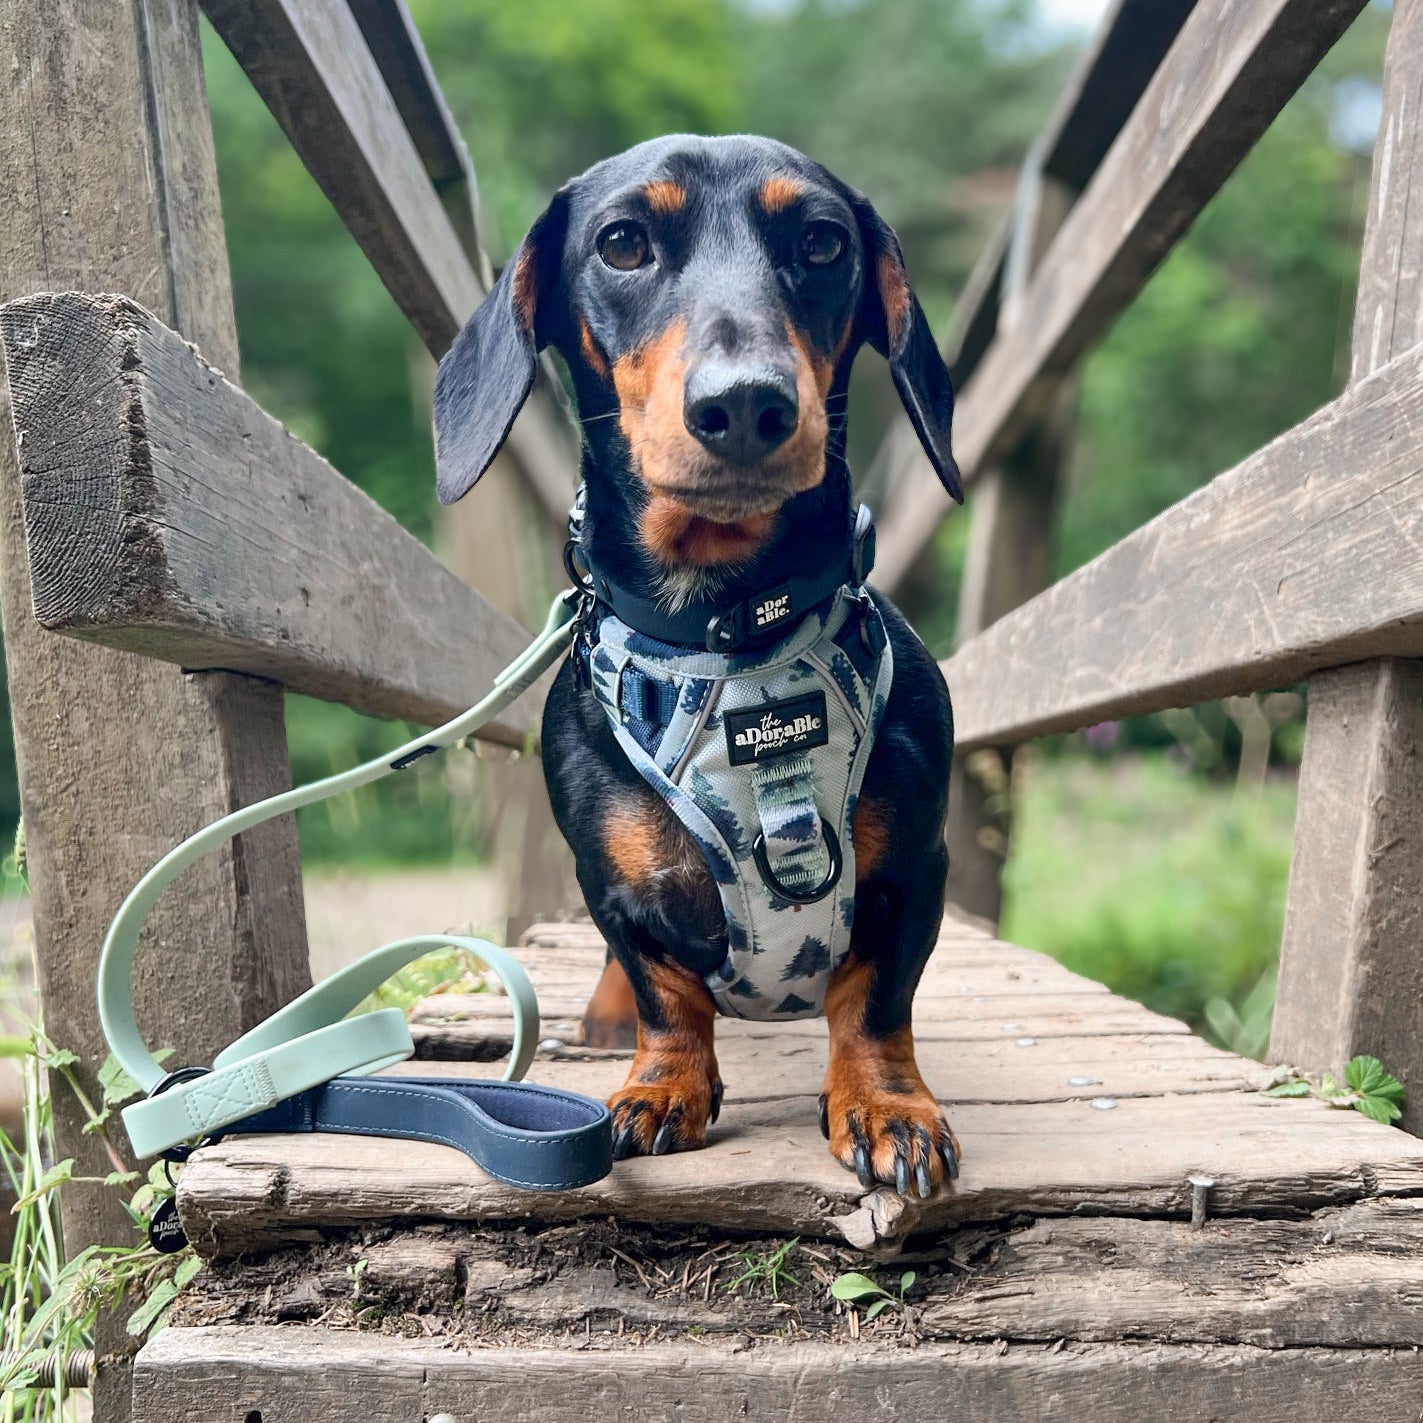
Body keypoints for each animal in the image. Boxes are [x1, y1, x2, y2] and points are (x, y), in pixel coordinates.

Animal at [432, 135, 967, 1201]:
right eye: (621, 242)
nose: (747, 403)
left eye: (821, 242)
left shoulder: (915, 872)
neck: (730, 629)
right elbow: (663, 991)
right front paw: (661, 1083)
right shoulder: (614, 890)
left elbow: (877, 1002)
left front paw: (887, 1103)